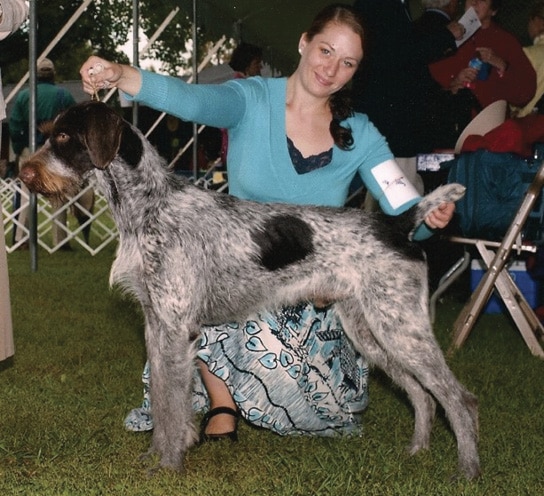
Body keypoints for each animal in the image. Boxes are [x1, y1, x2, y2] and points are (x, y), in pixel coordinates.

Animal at [19, 101, 480, 480]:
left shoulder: (176, 331)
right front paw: (157, 456)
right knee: (423, 396)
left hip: (400, 328)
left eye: (64, 137)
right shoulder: (156, 326)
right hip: (372, 332)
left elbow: (172, 406)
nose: (23, 174)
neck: (149, 207)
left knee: (458, 398)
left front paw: (168, 465)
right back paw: (417, 452)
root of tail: (398, 224)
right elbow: (166, 402)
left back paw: (467, 471)